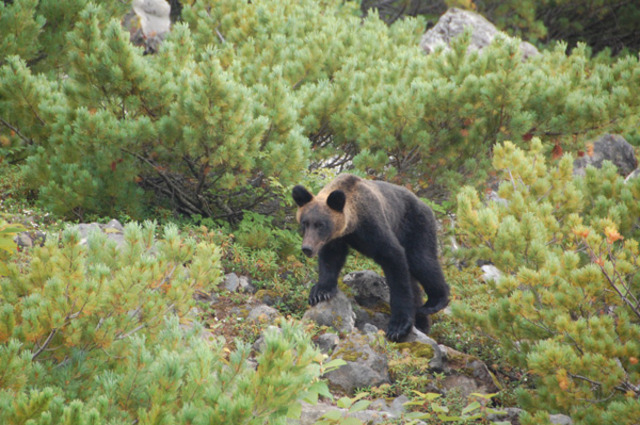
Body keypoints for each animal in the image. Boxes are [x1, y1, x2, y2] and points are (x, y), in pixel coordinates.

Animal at [292, 172, 448, 342]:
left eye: (320, 224)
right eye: (304, 222)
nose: (307, 248)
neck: (352, 225)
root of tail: (425, 204)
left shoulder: (372, 226)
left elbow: (394, 260)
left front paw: (398, 326)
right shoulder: (337, 238)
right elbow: (330, 259)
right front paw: (320, 292)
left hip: (415, 225)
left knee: (421, 260)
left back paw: (435, 302)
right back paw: (422, 322)